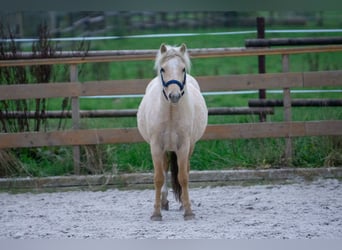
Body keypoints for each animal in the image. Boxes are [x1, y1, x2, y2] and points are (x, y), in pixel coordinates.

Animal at [137, 43, 207, 221]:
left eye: (183, 69)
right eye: (163, 69)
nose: (174, 95)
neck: (170, 113)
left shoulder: (183, 146)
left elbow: (183, 177)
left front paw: (188, 211)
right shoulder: (156, 147)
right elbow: (158, 178)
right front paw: (156, 213)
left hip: (189, 147)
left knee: (184, 170)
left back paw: (182, 203)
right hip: (165, 149)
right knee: (164, 169)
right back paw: (163, 202)